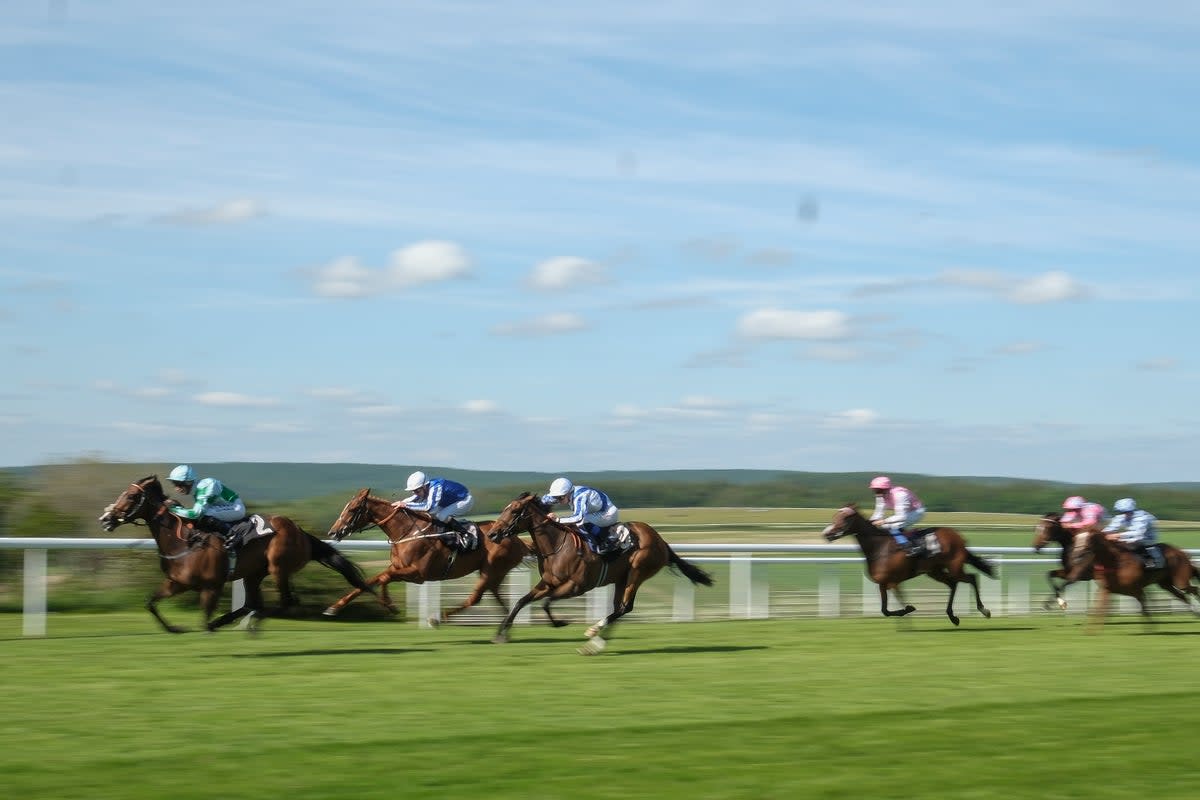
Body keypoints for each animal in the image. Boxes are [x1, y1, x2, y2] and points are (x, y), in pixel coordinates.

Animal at [99, 474, 374, 633]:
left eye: (131, 495)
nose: (106, 519)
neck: (182, 541)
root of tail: (301, 531)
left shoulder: (212, 585)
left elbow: (203, 619)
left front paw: (206, 626)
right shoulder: (176, 583)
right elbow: (150, 602)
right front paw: (175, 628)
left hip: (278, 567)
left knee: (285, 602)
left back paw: (250, 623)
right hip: (253, 574)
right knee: (252, 603)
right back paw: (235, 622)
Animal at [321, 489, 568, 623]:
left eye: (353, 510)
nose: (333, 532)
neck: (407, 532)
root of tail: (517, 539)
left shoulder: (418, 574)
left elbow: (383, 578)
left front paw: (390, 605)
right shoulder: (401, 569)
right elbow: (370, 580)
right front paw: (334, 607)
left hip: (491, 569)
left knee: (475, 598)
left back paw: (441, 617)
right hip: (493, 573)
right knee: (496, 597)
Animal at [484, 491, 710, 652]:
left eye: (515, 511)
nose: (493, 534)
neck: (557, 546)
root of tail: (661, 540)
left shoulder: (576, 586)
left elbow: (546, 602)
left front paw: (560, 622)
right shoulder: (548, 583)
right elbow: (521, 601)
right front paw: (501, 633)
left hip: (637, 572)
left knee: (625, 607)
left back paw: (594, 634)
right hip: (621, 579)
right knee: (620, 608)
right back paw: (596, 644)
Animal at [820, 506, 998, 623]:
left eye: (844, 518)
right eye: (835, 517)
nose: (826, 534)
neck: (879, 547)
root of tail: (958, 536)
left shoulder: (892, 581)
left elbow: (888, 608)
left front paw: (908, 610)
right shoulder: (885, 583)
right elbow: (884, 610)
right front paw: (906, 611)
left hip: (954, 566)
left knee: (971, 578)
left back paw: (983, 609)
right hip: (935, 571)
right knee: (953, 583)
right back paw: (952, 616)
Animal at [1065, 527, 1200, 628]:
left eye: (1089, 538)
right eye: (1076, 538)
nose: (1076, 555)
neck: (1116, 561)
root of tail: (1181, 552)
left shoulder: (1134, 588)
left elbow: (1144, 605)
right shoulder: (1111, 588)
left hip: (1180, 580)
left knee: (1193, 589)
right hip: (1166, 584)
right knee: (1182, 595)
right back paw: (1194, 612)